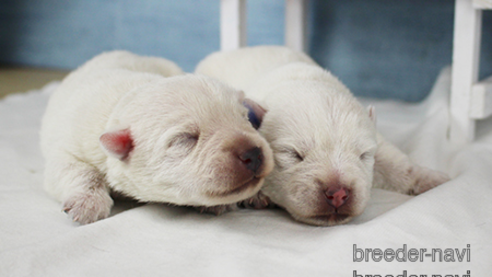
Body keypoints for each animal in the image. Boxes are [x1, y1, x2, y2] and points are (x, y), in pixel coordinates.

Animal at [40, 50, 274, 223]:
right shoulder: (70, 141)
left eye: (246, 118)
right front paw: (87, 204)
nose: (253, 153)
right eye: (185, 139)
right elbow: (75, 169)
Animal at [194, 45, 448, 225]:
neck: (301, 79)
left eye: (363, 155)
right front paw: (247, 197)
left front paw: (433, 179)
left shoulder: (377, 141)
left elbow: (395, 161)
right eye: (293, 154)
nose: (338, 194)